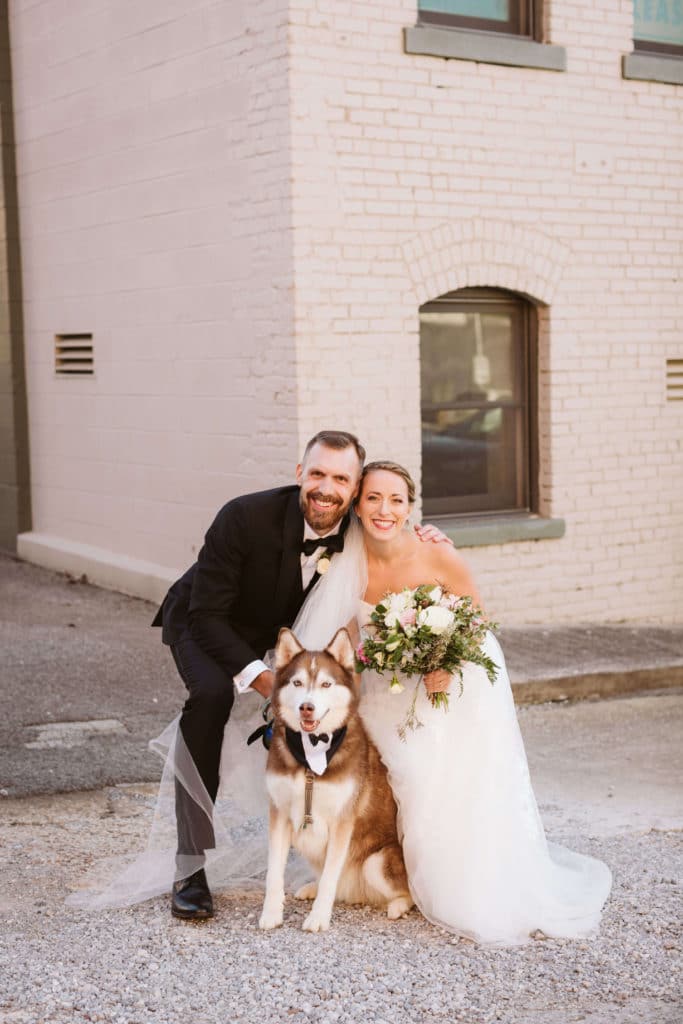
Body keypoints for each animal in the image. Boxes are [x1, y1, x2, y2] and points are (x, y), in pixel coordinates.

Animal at [260, 626, 411, 933]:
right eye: (297, 682)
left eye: (326, 685)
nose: (306, 707)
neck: (310, 754)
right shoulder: (279, 813)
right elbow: (274, 873)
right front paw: (271, 913)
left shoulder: (343, 820)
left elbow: (331, 876)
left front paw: (318, 918)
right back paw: (312, 887)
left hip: (377, 862)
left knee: (408, 894)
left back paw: (398, 906)